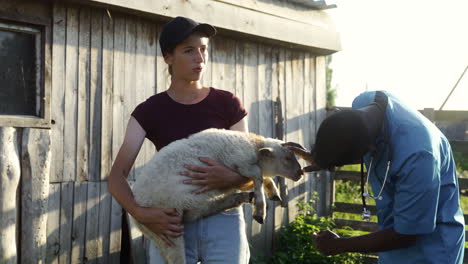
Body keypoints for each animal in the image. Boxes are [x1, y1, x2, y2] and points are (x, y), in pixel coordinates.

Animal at [132, 127, 304, 262]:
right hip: (166, 226)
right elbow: (258, 174)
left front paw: (273, 193)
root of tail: (136, 219)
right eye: (287, 158)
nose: (301, 173)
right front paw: (260, 210)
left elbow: (263, 177)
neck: (254, 146)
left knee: (205, 209)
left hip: (189, 209)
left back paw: (242, 197)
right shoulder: (239, 162)